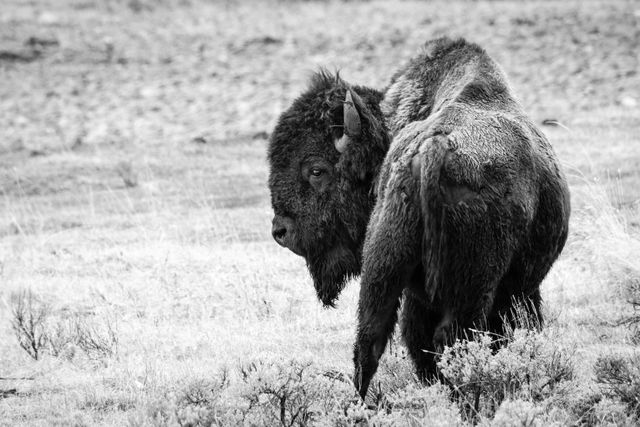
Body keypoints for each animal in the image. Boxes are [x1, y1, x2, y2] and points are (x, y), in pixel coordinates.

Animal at [264, 37, 568, 402]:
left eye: (316, 170)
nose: (281, 231)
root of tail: (435, 147)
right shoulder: (520, 289)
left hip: (383, 263)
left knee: (372, 339)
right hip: (472, 287)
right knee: (453, 340)